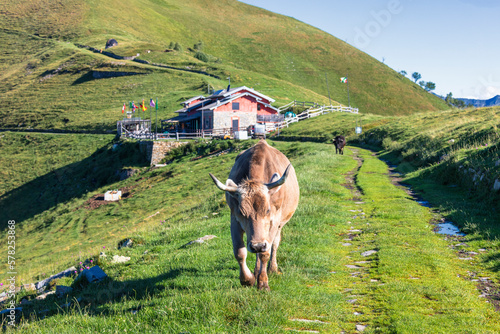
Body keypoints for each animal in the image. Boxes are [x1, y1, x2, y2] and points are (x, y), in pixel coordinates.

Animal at [208, 140, 298, 290]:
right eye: (241, 212)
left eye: (267, 210)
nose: (257, 246)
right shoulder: (234, 220)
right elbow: (239, 252)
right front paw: (248, 279)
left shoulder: (274, 221)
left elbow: (265, 253)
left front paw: (263, 283)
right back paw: (256, 271)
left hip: (279, 225)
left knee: (274, 244)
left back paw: (272, 269)